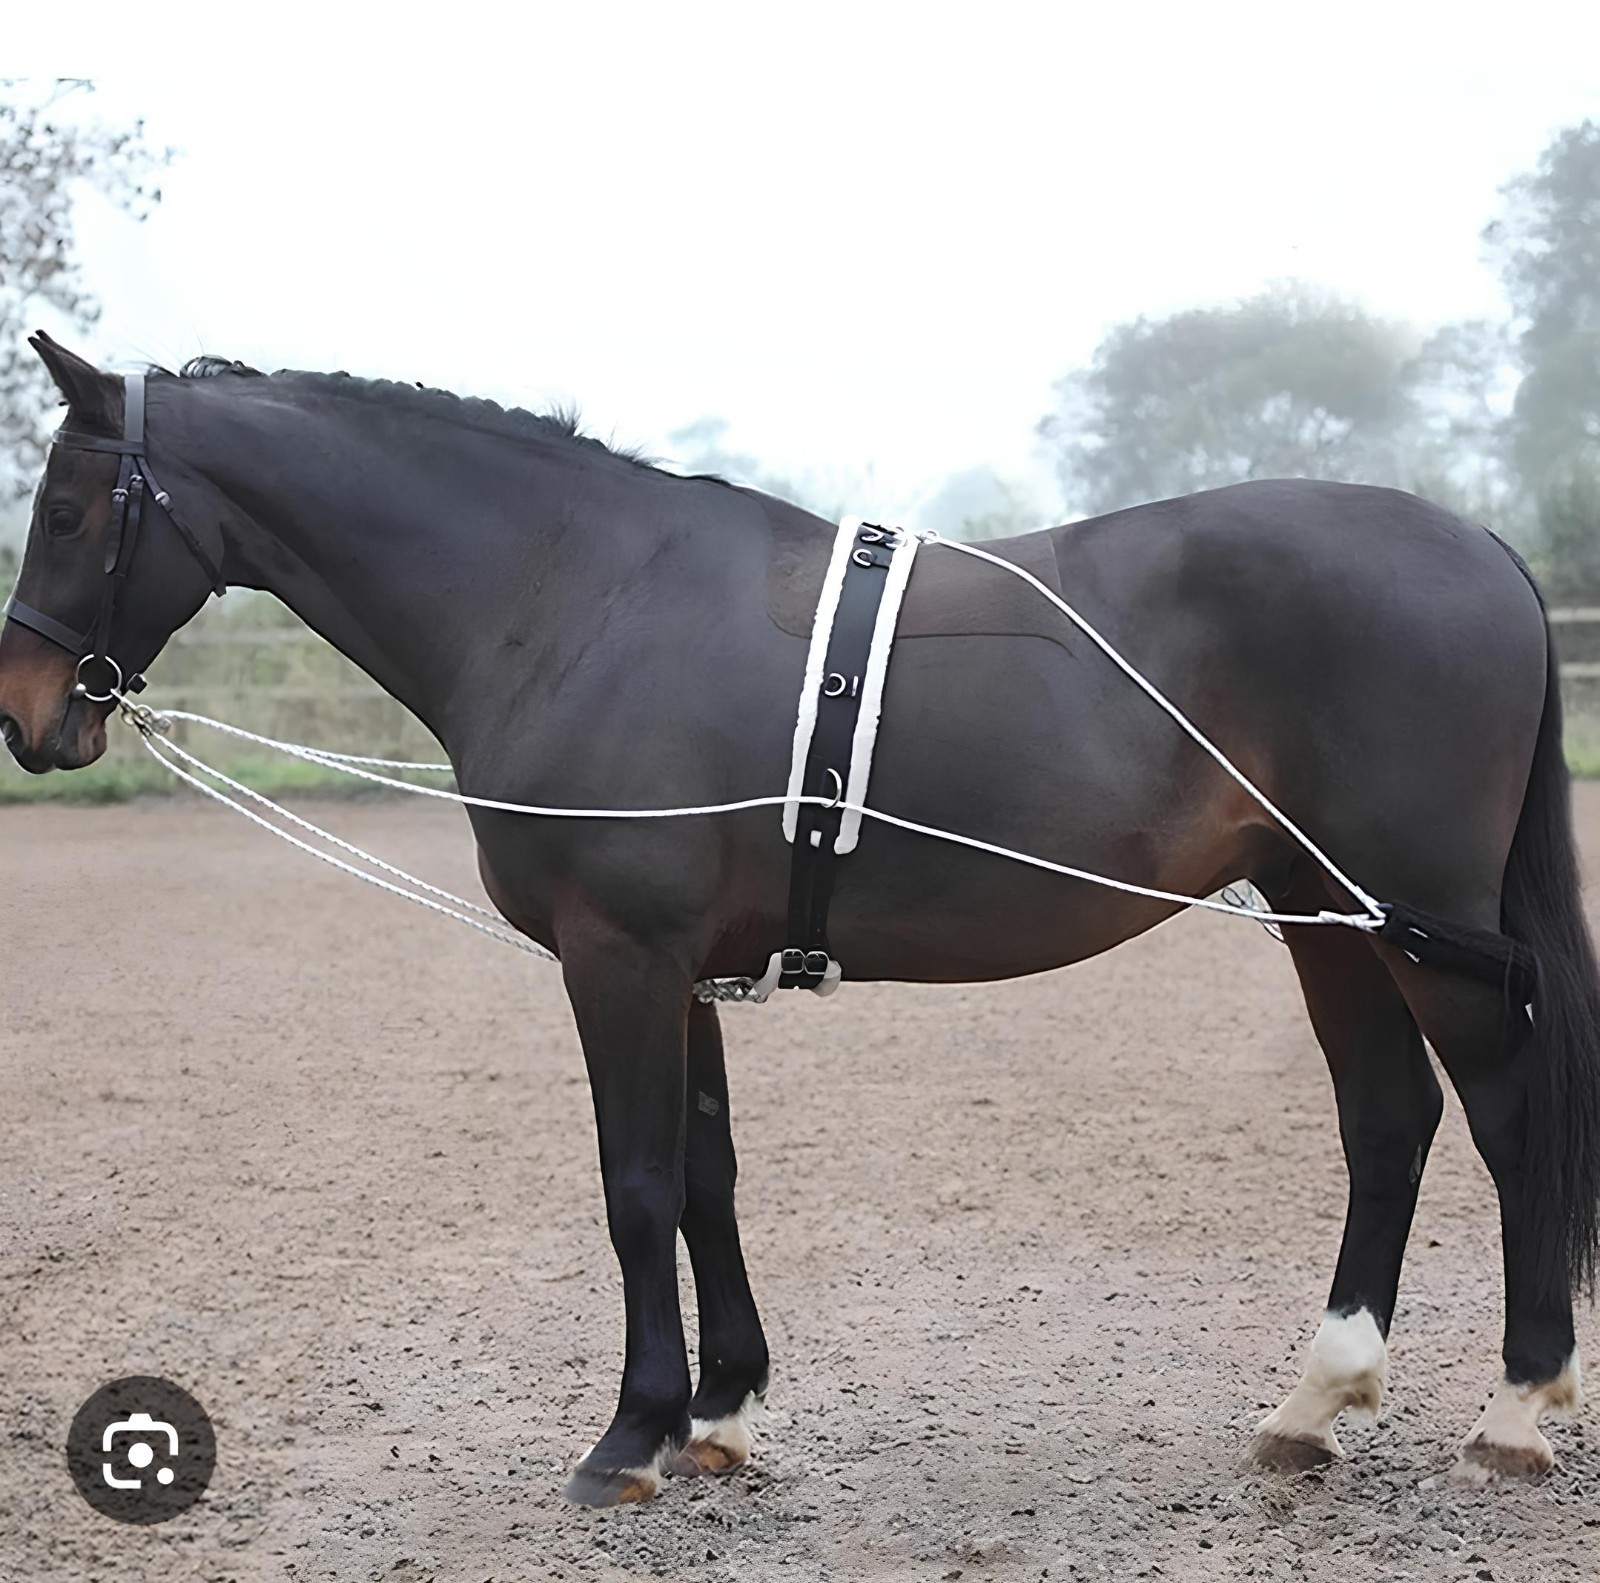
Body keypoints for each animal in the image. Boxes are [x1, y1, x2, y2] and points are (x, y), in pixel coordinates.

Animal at [3, 332, 1596, 1505]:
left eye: (69, 508)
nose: (28, 717)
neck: (574, 596)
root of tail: (1480, 545)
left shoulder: (619, 957)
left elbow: (637, 1182)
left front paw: (630, 1435)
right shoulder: (683, 971)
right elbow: (706, 1177)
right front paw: (719, 1412)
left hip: (1415, 915)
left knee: (1511, 1112)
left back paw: (1518, 1402)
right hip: (1326, 907)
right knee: (1389, 1118)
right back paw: (1312, 1403)